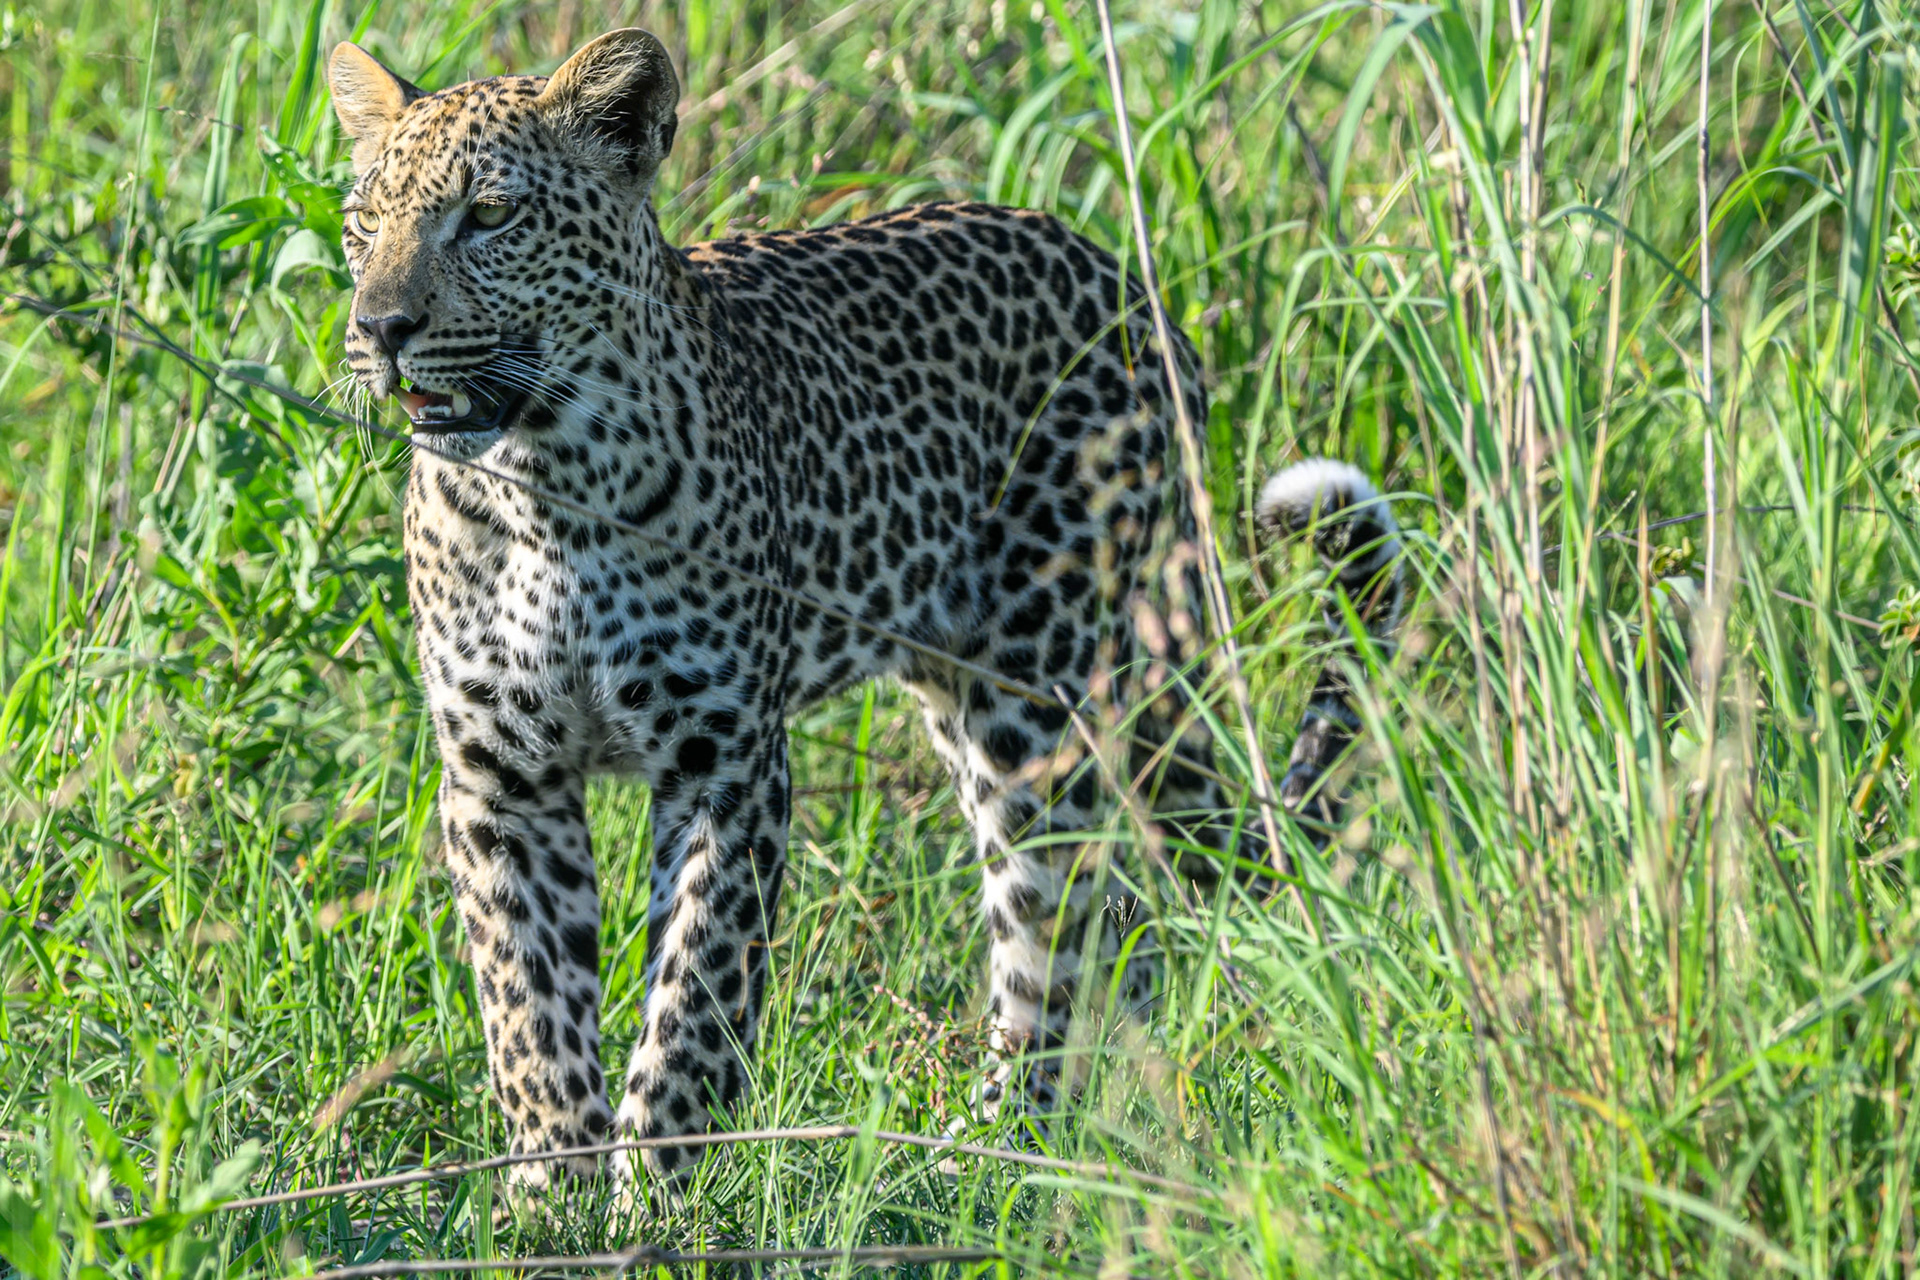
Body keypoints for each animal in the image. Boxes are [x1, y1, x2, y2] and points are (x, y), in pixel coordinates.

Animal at [326, 28, 1404, 1194]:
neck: (539, 487)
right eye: (363, 222)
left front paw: (654, 1200)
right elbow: (530, 1010)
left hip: (1045, 704)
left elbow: (693, 1005)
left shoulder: (724, 763)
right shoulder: (499, 775)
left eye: (489, 215)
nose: (381, 327)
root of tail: (1134, 289)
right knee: (1124, 918)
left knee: (1061, 930)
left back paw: (996, 1156)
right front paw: (550, 1200)